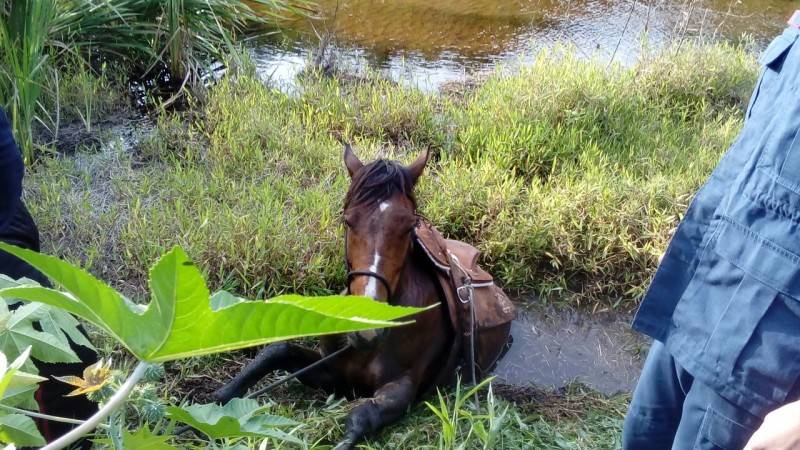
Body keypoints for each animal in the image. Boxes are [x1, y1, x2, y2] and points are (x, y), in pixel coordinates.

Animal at [213, 144, 509, 449]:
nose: (367, 330)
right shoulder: (334, 373)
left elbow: (361, 417)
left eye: (408, 226)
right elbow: (277, 352)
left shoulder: (402, 388)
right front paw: (213, 403)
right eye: (348, 220)